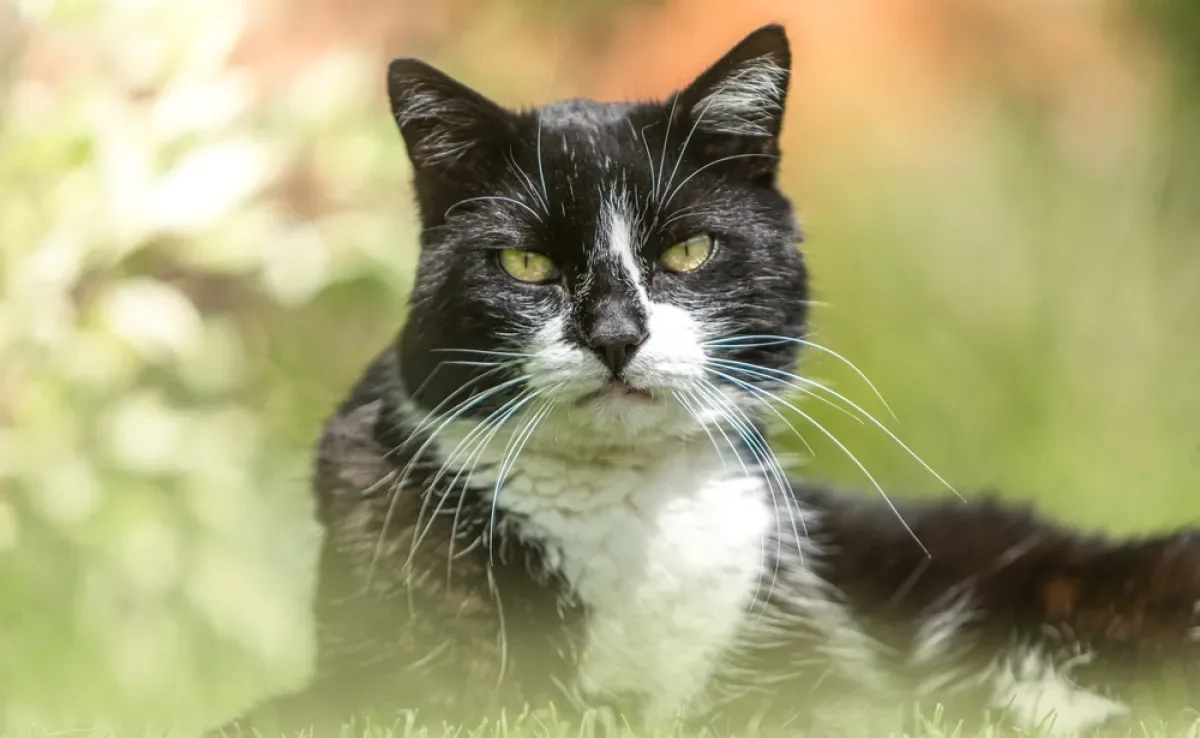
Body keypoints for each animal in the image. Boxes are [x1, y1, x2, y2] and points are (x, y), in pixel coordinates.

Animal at [211, 23, 1200, 738]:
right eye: (527, 264)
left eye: (688, 250)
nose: (616, 333)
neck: (620, 513)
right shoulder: (381, 678)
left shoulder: (814, 664)